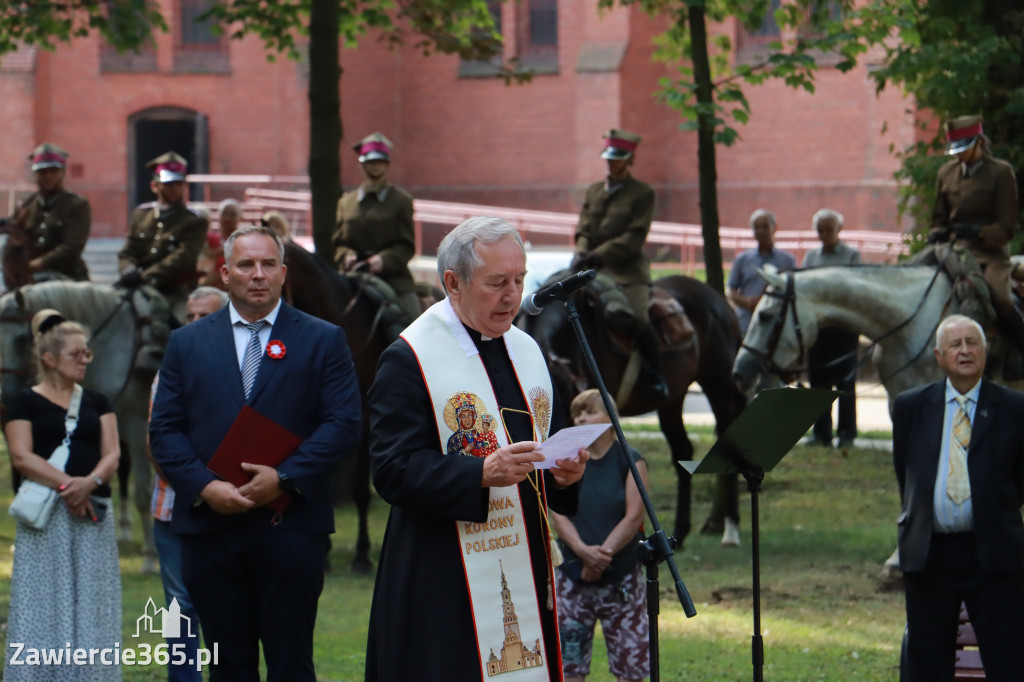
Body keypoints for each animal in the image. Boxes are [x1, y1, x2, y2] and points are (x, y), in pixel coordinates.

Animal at [0, 278, 172, 569]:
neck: (112, 346)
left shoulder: (138, 426)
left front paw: (150, 557)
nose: (5, 397)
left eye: (22, 338)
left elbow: (142, 491)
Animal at [524, 270, 749, 548]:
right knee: (682, 451)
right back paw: (682, 530)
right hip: (673, 400)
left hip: (719, 387)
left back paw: (731, 528)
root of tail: (717, 297)